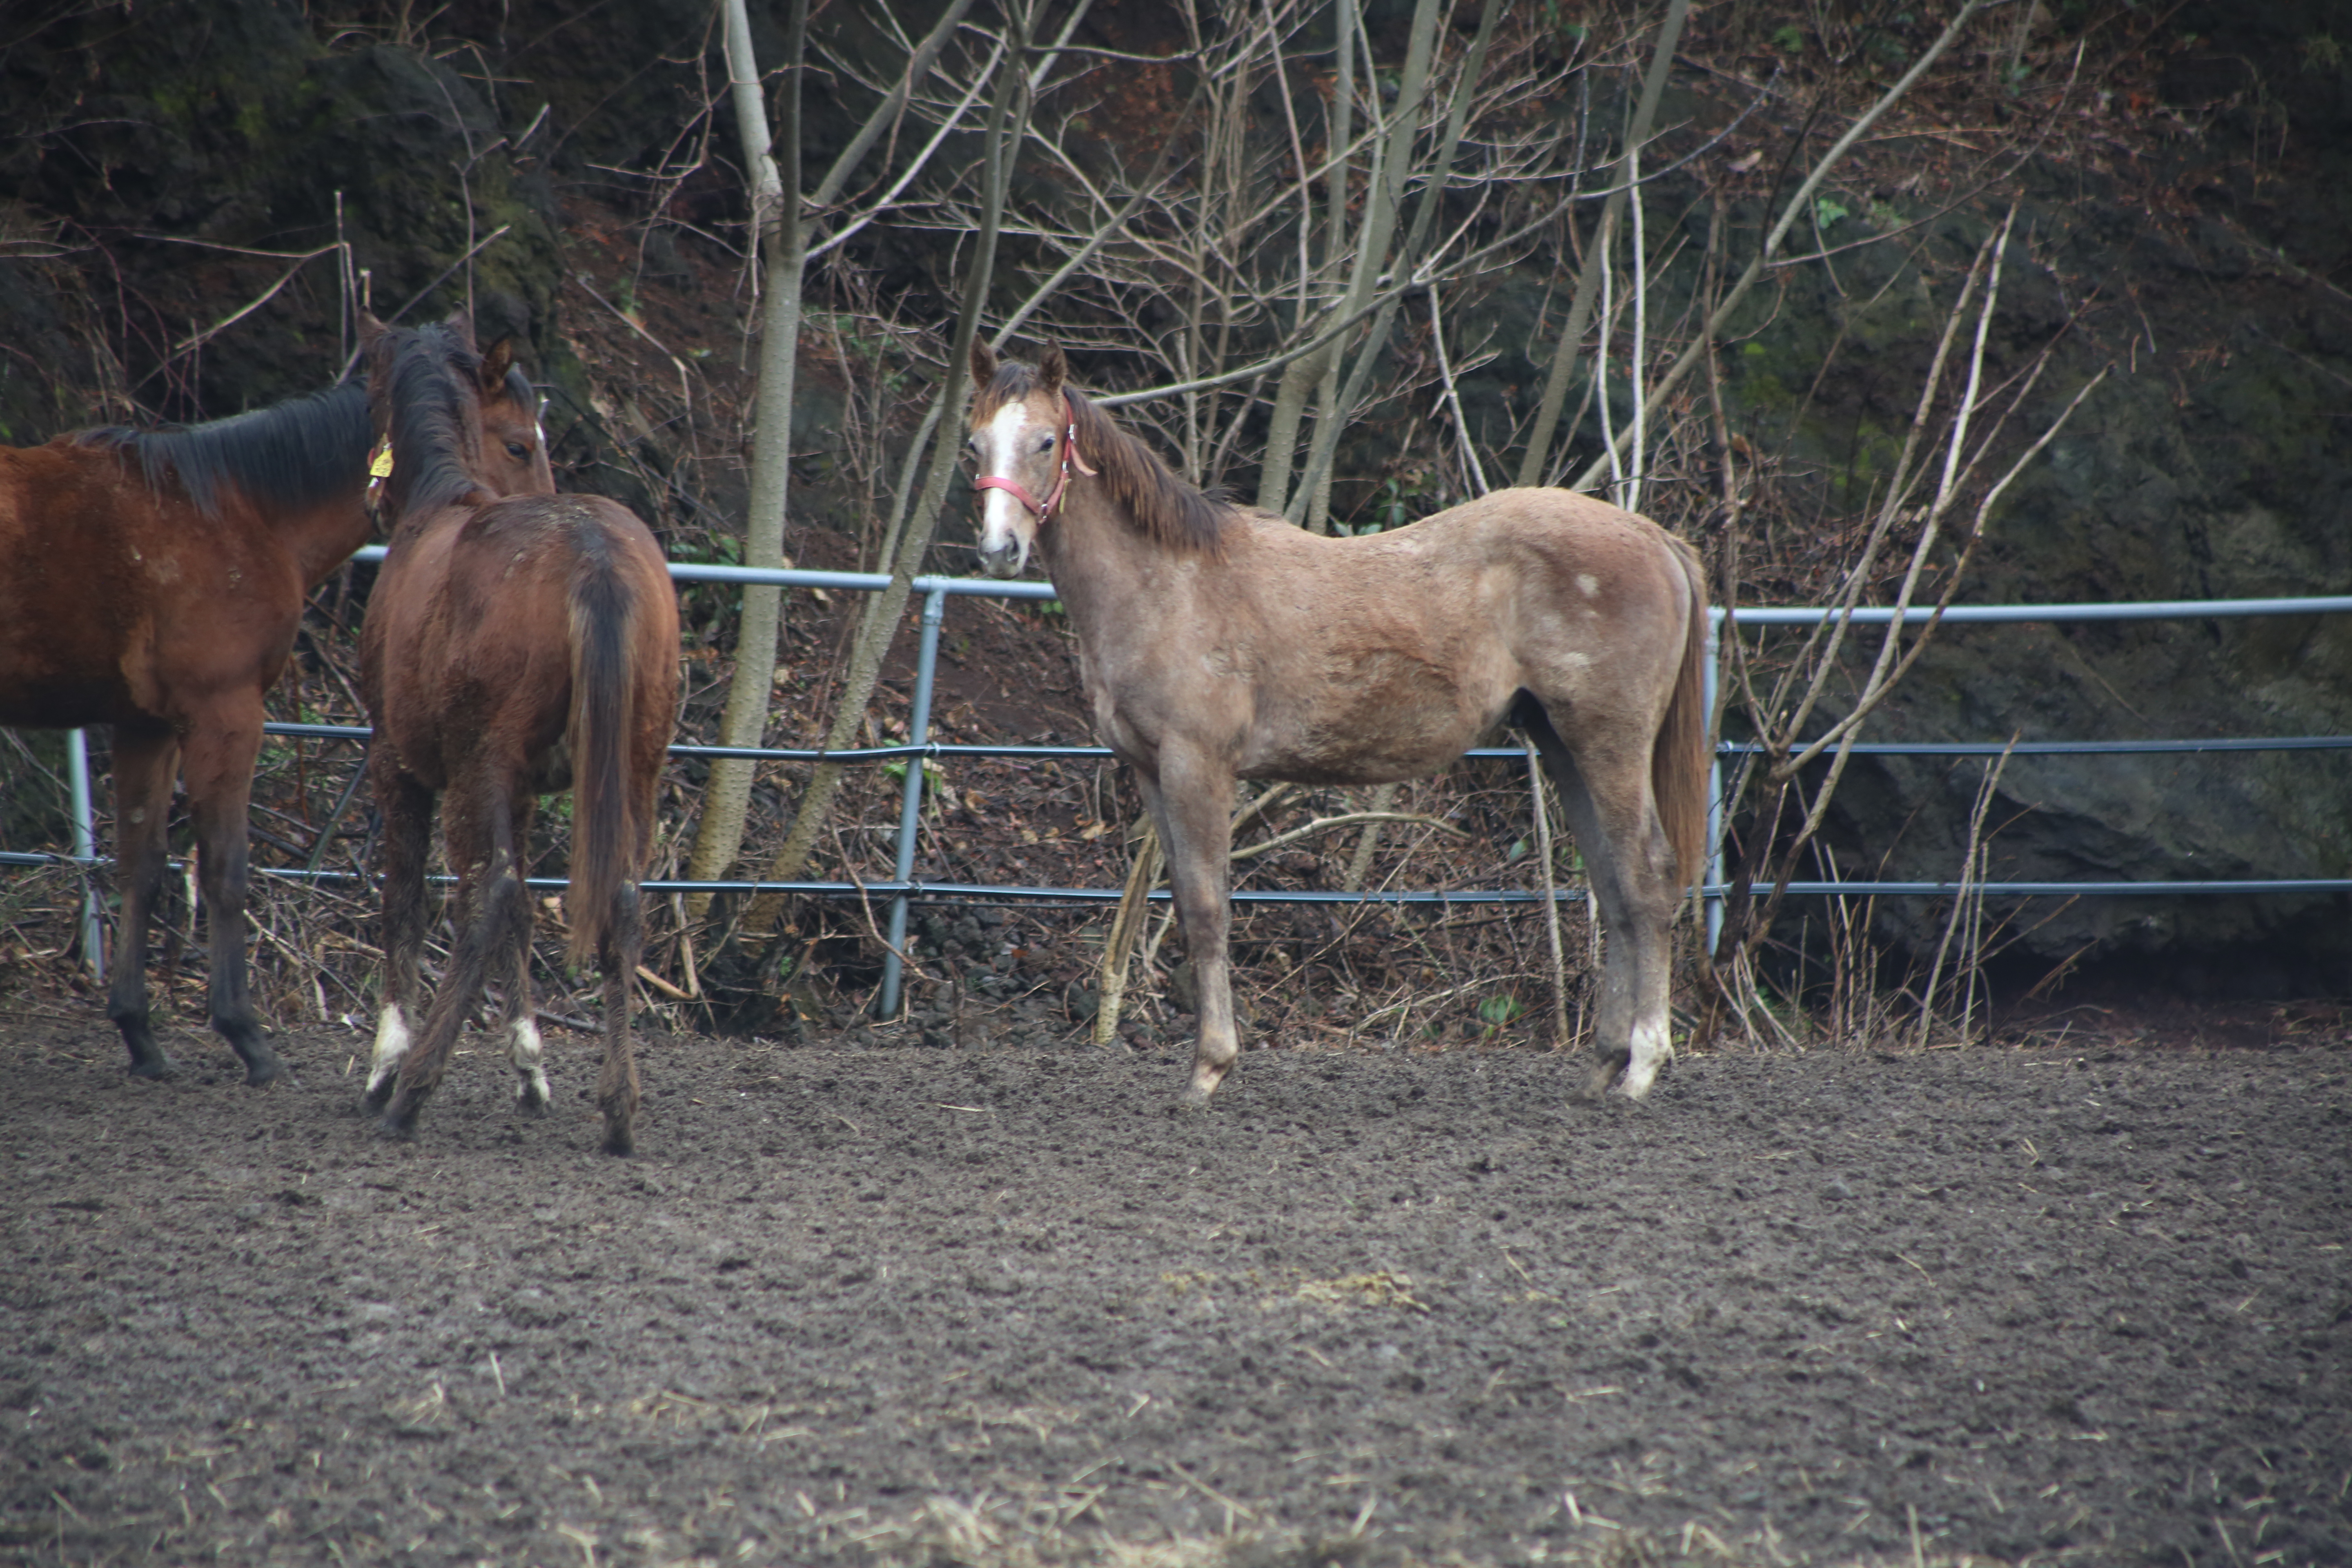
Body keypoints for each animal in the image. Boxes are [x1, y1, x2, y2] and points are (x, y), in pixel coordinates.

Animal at [0, 357, 539, 1086]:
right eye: (518, 446)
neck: (237, 512)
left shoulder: (146, 727)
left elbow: (142, 867)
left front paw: (140, 1034)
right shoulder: (225, 714)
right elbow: (227, 869)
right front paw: (247, 1037)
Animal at [357, 315, 677, 1152]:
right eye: (522, 442)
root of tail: (595, 556)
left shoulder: (398, 767)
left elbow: (406, 902)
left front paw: (384, 1063)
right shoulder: (531, 790)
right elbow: (532, 911)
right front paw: (531, 1066)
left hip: (478, 770)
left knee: (486, 894)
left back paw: (411, 1091)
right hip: (633, 770)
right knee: (621, 901)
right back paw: (619, 1108)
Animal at [960, 343, 1712, 1105]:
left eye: (1045, 442)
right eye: (975, 443)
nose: (998, 549)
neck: (1168, 586)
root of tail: (1655, 538)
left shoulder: (1198, 766)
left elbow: (1206, 911)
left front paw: (1210, 1069)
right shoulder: (1150, 770)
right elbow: (1188, 904)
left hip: (1611, 745)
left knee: (1647, 877)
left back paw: (1643, 1065)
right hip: (1564, 747)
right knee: (1613, 889)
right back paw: (1603, 1064)